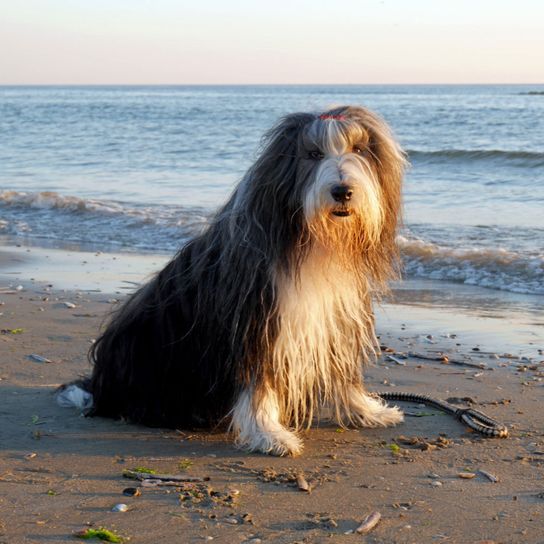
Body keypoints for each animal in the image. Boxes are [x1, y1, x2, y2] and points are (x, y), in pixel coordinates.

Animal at [58, 105, 408, 454]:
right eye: (312, 153)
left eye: (359, 150)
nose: (342, 191)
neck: (313, 241)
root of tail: (100, 385)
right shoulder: (257, 323)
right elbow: (258, 383)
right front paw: (269, 434)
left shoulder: (335, 317)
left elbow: (341, 370)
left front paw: (366, 411)